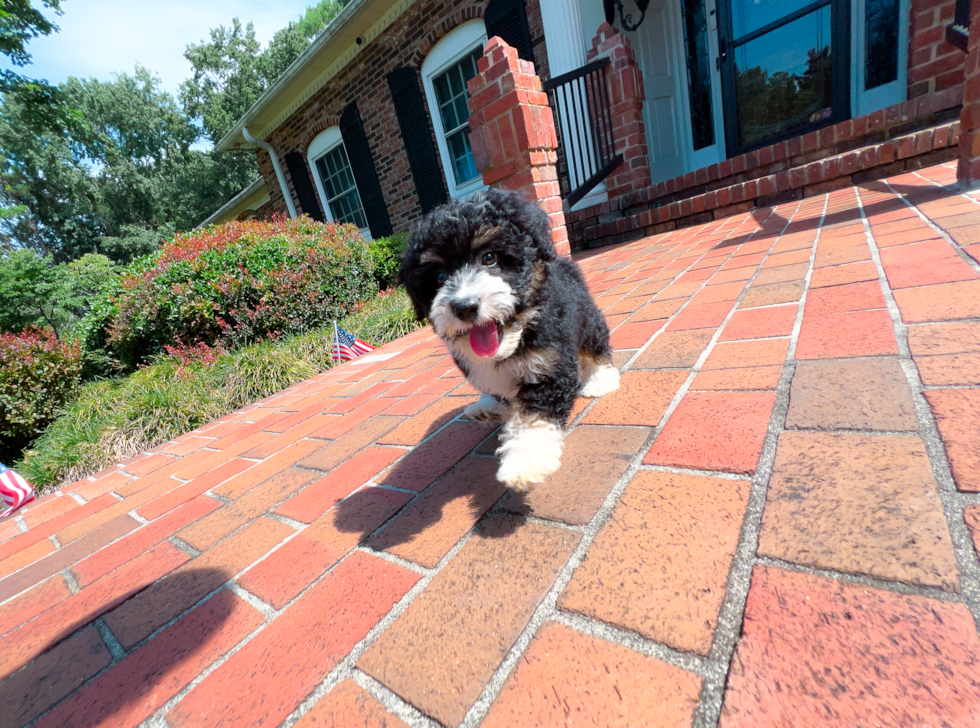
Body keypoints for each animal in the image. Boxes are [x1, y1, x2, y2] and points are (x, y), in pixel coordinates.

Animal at [400, 186, 620, 490]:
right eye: (440, 276)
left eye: (489, 258)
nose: (465, 307)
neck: (513, 341)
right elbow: (507, 397)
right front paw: (499, 411)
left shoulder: (548, 367)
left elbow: (534, 416)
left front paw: (525, 462)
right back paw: (488, 408)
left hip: (587, 319)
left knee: (596, 344)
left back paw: (600, 379)